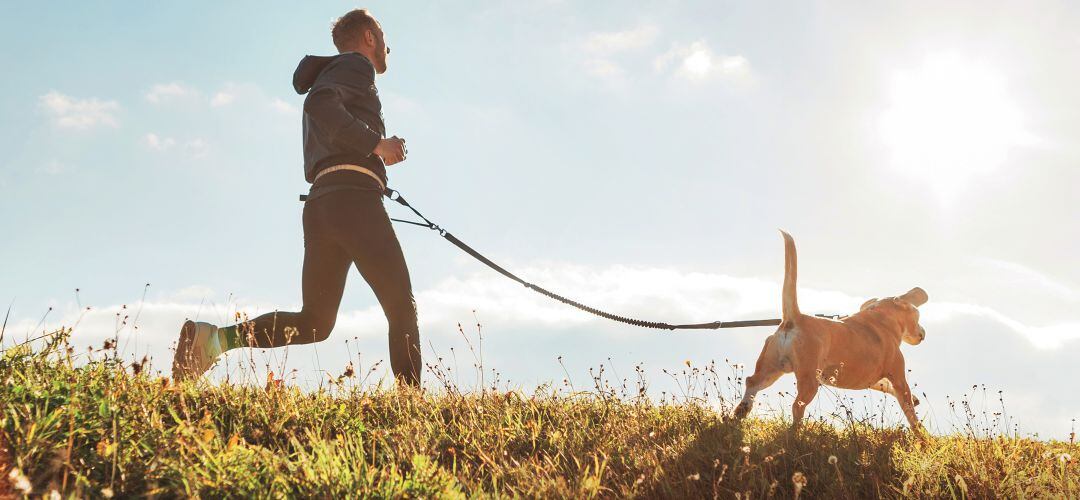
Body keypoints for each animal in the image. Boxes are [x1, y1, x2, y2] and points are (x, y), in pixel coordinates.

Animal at [734, 231, 928, 429]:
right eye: (917, 314)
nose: (923, 332)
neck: (881, 318)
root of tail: (794, 318)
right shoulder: (898, 376)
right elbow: (909, 410)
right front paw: (920, 432)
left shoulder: (873, 379)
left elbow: (886, 386)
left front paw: (915, 400)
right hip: (809, 379)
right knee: (797, 405)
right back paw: (795, 431)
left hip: (771, 368)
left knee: (752, 383)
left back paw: (741, 411)